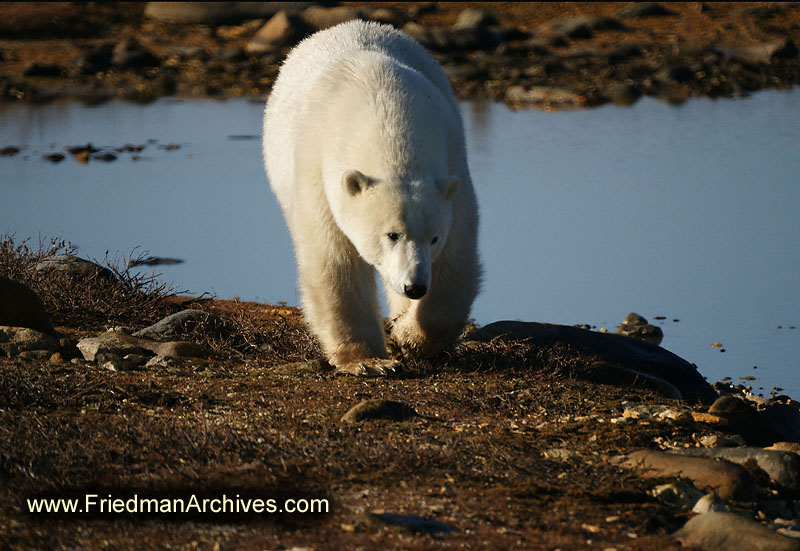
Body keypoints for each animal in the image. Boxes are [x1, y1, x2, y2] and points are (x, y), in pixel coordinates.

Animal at [262, 20, 478, 376]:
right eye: (391, 234)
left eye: (433, 238)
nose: (415, 286)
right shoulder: (317, 168)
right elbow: (334, 260)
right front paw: (368, 361)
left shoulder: (452, 161)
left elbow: (456, 258)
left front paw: (410, 337)